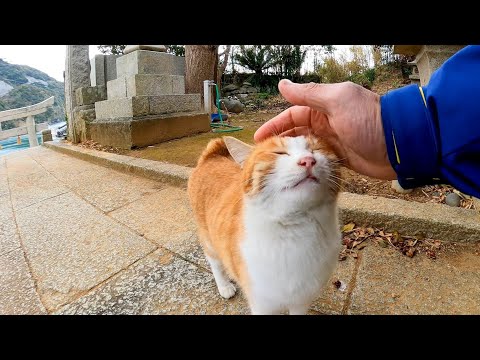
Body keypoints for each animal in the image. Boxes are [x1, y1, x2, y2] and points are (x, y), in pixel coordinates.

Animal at [187, 134, 342, 314]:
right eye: (279, 153)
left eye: (316, 149)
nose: (308, 160)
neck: (296, 230)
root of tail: (213, 154)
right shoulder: (262, 303)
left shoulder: (301, 301)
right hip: (208, 239)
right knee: (214, 262)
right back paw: (224, 286)